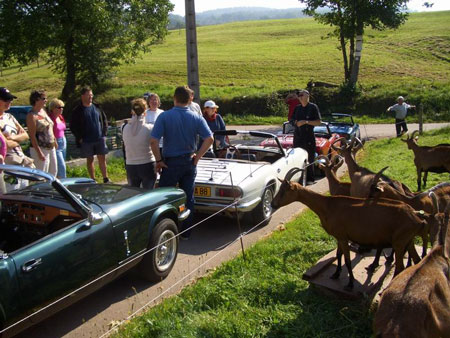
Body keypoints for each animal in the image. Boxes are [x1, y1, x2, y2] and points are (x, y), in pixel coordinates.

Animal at [270, 168, 426, 290]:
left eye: (284, 191)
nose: (272, 204)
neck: (327, 206)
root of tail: (416, 216)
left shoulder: (343, 237)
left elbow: (348, 259)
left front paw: (350, 283)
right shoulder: (339, 236)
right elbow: (338, 255)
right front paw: (335, 274)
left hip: (400, 241)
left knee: (400, 267)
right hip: (409, 240)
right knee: (417, 259)